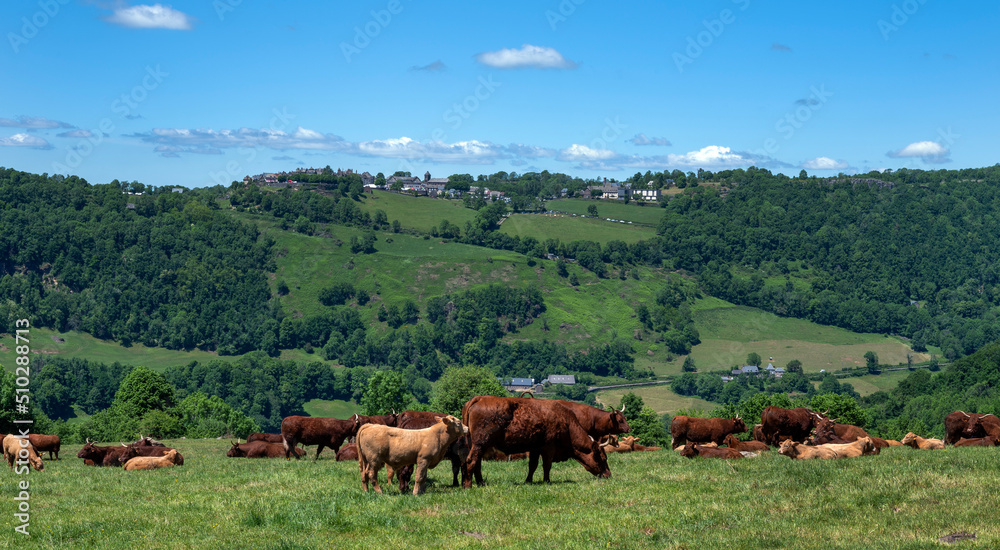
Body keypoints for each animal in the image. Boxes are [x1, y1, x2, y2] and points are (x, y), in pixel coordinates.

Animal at [460, 396, 608, 488]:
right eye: (602, 458)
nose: (608, 475)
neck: (565, 422)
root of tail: (480, 398)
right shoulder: (548, 448)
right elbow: (546, 466)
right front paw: (547, 481)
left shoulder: (535, 448)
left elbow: (532, 465)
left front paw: (528, 481)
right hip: (480, 444)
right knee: (471, 461)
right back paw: (468, 485)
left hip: (478, 445)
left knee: (477, 464)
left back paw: (481, 483)